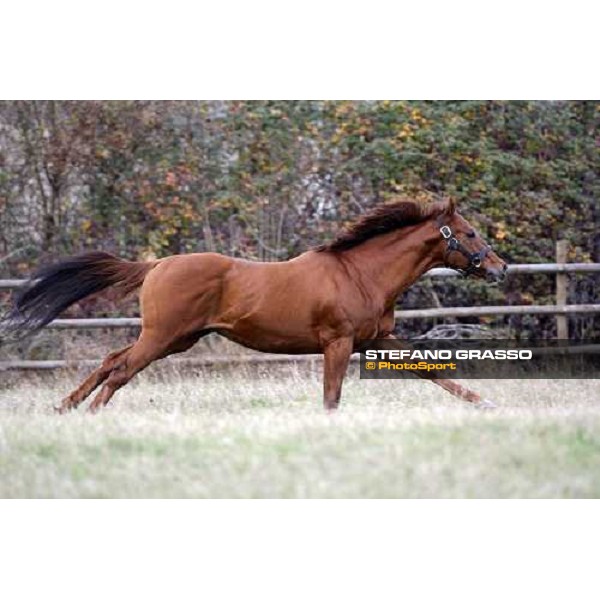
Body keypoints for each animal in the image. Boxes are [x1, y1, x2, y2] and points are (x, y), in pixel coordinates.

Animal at [1, 198, 506, 412]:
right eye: (470, 233)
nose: (499, 268)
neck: (360, 274)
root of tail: (157, 264)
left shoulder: (376, 339)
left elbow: (430, 370)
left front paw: (485, 403)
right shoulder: (339, 343)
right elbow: (332, 396)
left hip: (177, 339)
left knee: (111, 360)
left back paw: (65, 408)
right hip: (164, 336)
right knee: (122, 370)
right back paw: (91, 414)